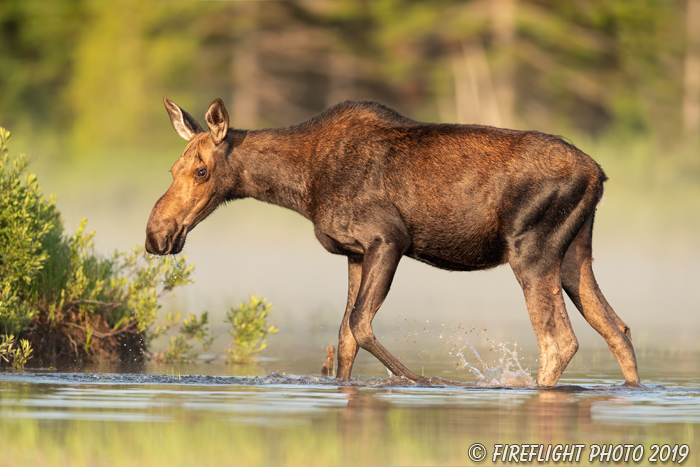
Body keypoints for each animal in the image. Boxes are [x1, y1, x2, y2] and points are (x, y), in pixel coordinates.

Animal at [146, 96, 640, 388]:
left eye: (202, 170)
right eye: (171, 169)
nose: (156, 235)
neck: (299, 187)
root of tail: (598, 174)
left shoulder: (388, 238)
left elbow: (361, 325)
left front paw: (424, 382)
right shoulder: (354, 253)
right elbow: (345, 337)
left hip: (531, 250)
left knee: (559, 340)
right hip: (574, 255)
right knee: (617, 328)